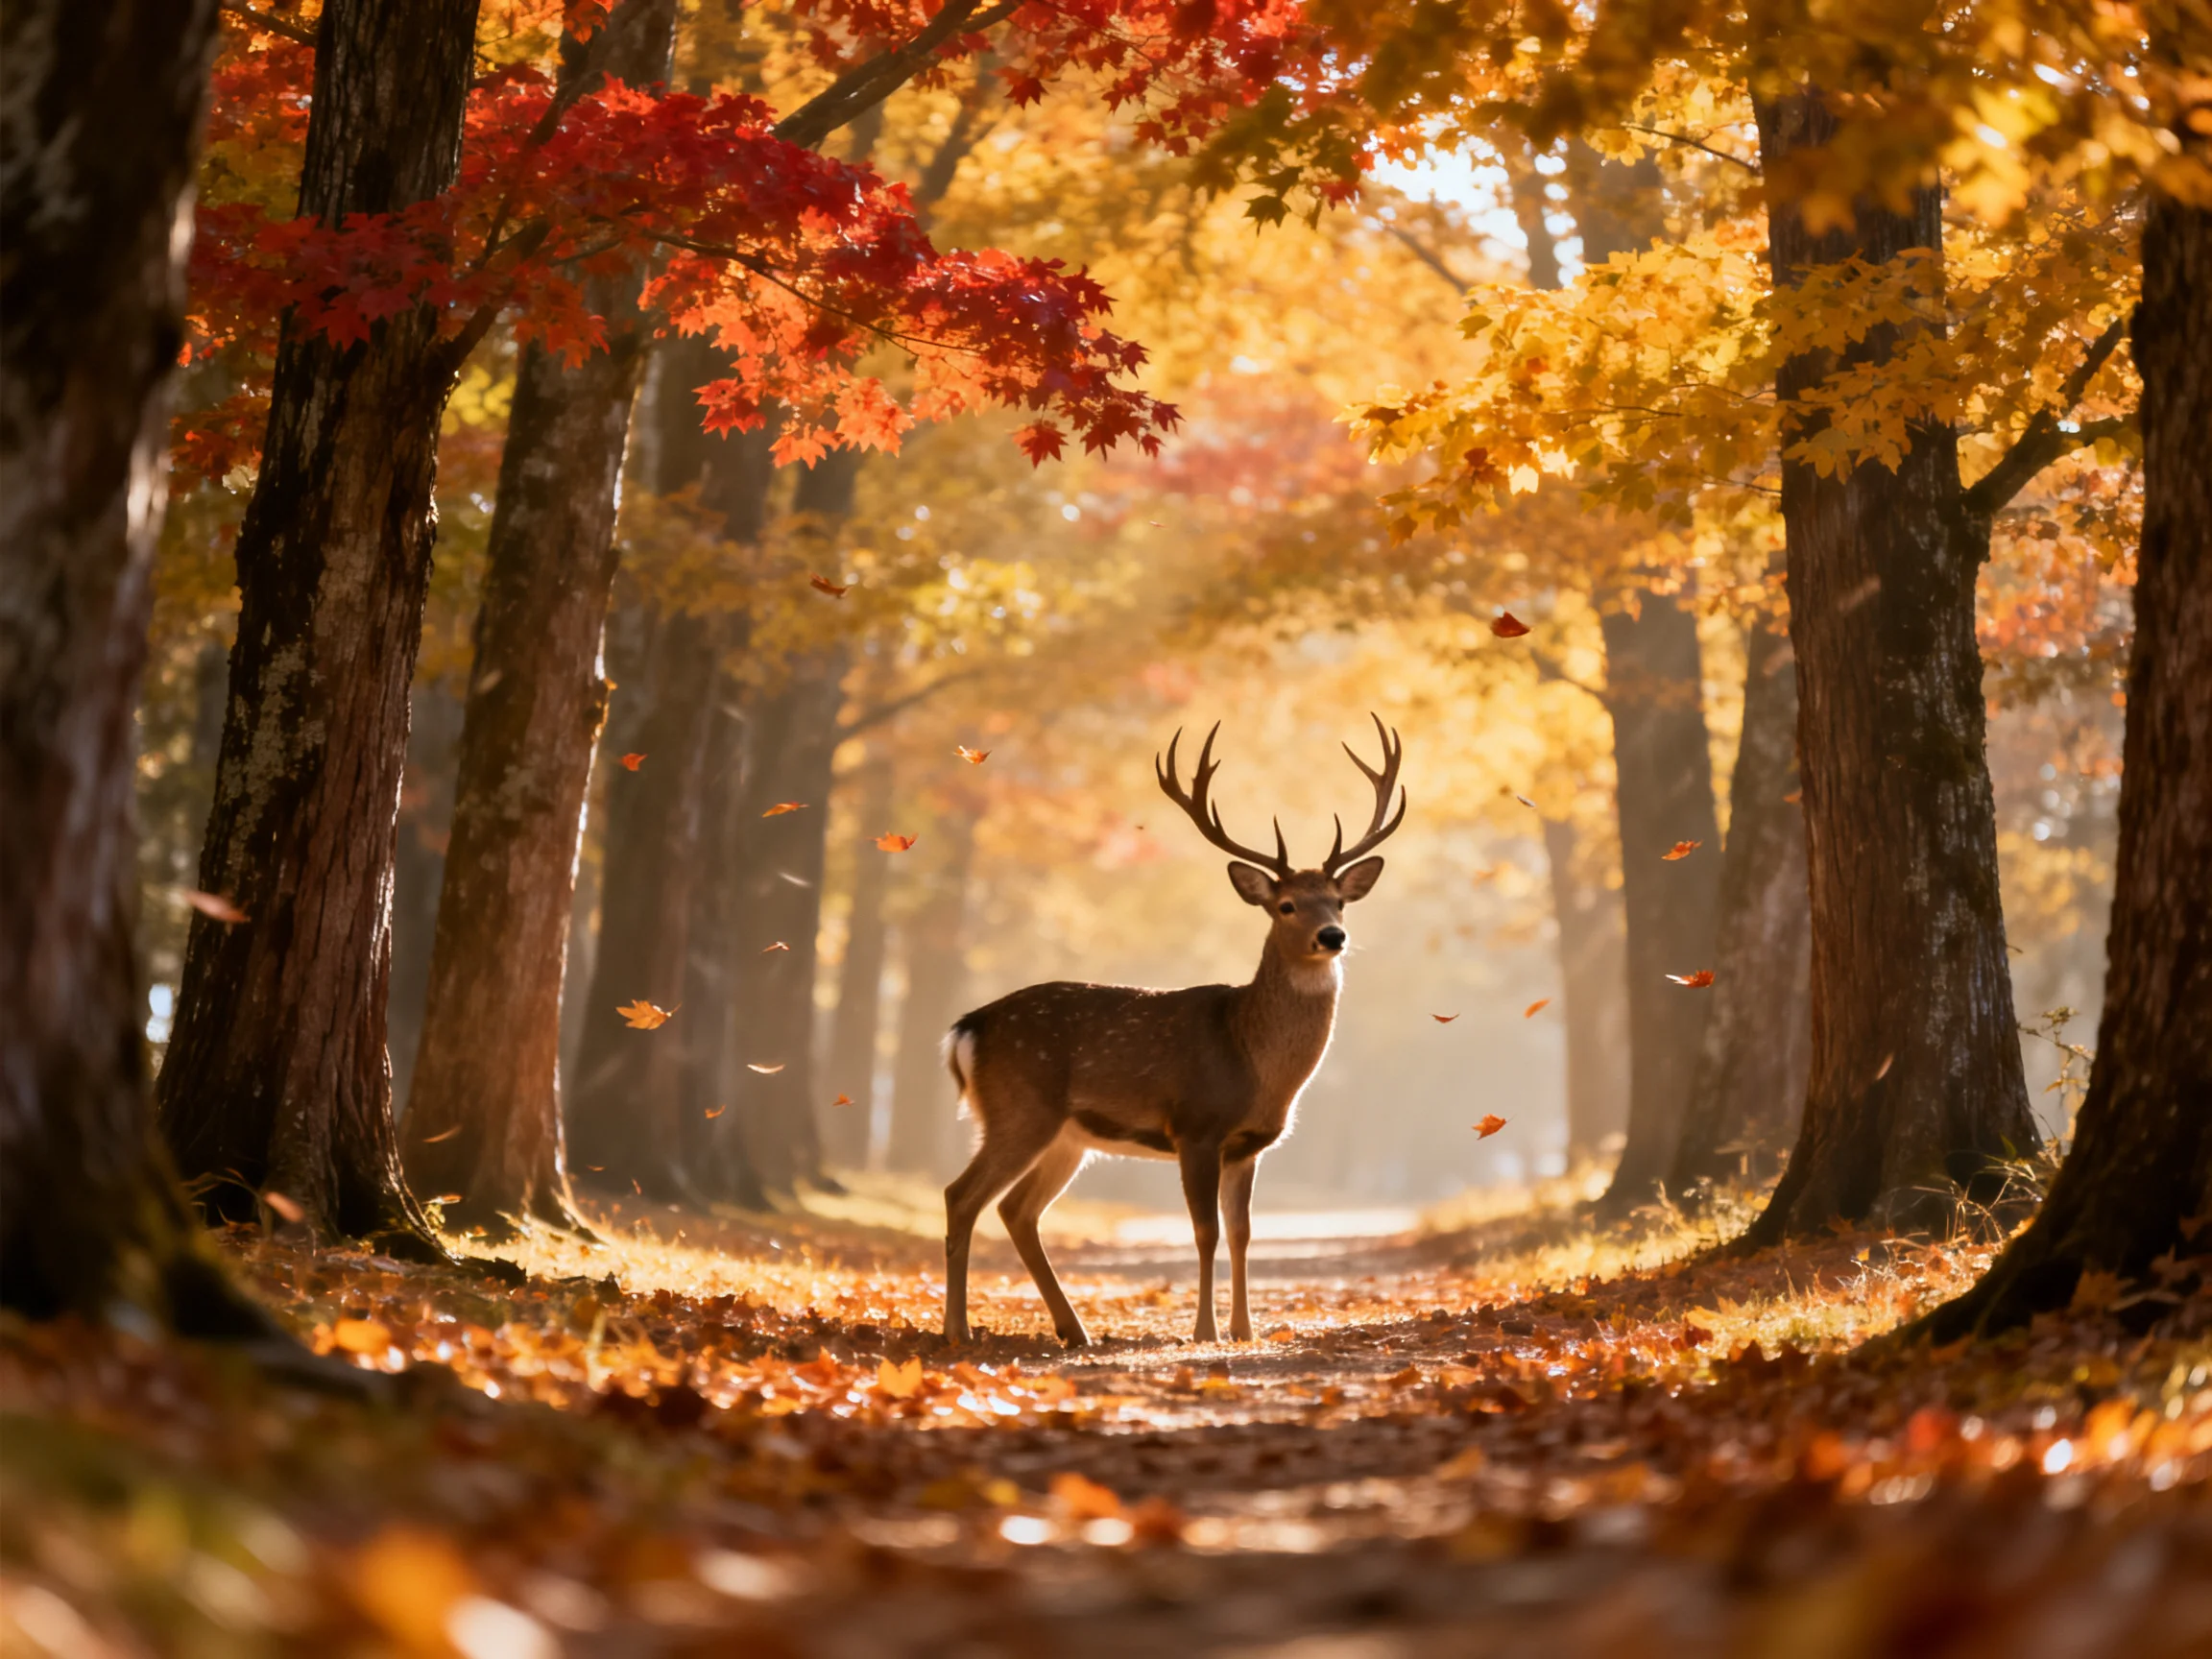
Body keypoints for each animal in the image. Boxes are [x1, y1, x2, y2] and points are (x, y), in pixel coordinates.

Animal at [940, 716, 1406, 1347]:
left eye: (1338, 901)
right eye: (1286, 905)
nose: (1332, 936)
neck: (1252, 1059)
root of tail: (967, 1028)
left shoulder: (1248, 1145)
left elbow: (1242, 1233)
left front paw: (1244, 1330)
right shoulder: (1195, 1126)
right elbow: (1205, 1231)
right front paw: (1206, 1331)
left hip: (1065, 1134)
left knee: (1017, 1210)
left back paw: (1074, 1330)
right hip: (1019, 1108)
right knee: (962, 1196)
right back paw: (958, 1330)